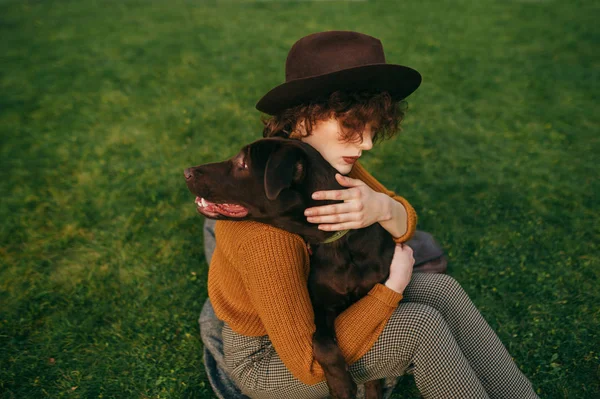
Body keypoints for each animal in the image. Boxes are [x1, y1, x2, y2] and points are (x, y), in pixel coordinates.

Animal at [185, 138, 396, 399]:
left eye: (242, 163)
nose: (187, 172)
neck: (338, 243)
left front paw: (372, 389)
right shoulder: (320, 306)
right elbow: (321, 343)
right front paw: (341, 385)